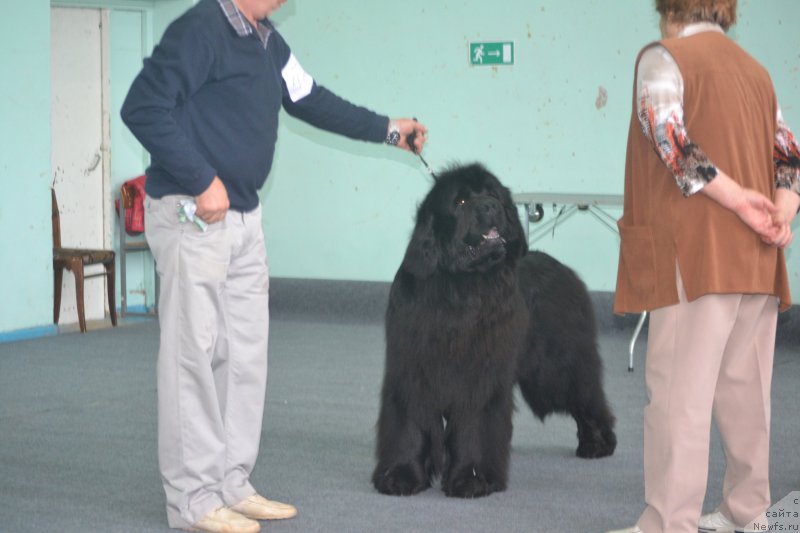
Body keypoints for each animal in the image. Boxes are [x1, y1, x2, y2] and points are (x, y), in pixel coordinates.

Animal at [372, 163, 616, 498]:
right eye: (461, 202)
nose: (489, 206)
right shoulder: (412, 369)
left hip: (554, 367)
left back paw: (598, 443)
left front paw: (472, 479)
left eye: (493, 194)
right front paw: (401, 476)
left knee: (586, 395)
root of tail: (566, 271)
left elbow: (474, 425)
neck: (460, 285)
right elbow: (409, 423)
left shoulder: (480, 376)